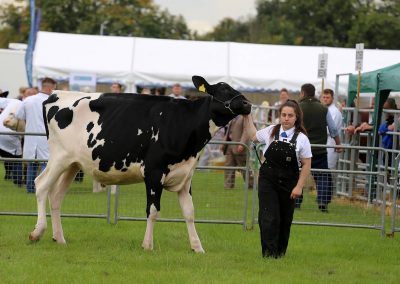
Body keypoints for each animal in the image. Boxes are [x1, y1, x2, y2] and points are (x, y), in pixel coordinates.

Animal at [29, 75, 252, 253]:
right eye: (224, 89)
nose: (247, 103)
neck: (182, 122)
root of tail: (56, 94)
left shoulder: (186, 175)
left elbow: (189, 212)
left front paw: (197, 247)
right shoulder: (154, 172)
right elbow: (152, 211)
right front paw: (148, 245)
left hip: (73, 164)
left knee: (56, 196)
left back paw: (60, 238)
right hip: (59, 157)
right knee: (41, 185)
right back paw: (37, 232)